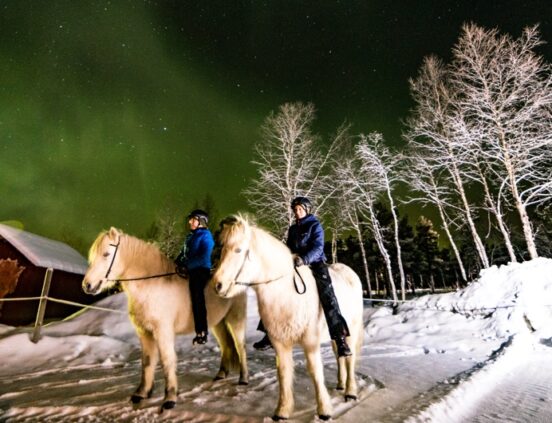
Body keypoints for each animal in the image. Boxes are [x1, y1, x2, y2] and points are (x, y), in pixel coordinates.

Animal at [81, 227, 248, 412]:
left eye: (106, 254)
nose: (87, 285)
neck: (152, 286)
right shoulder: (145, 332)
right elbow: (147, 362)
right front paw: (141, 393)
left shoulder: (163, 332)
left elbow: (167, 361)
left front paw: (170, 398)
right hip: (218, 323)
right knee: (226, 346)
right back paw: (220, 375)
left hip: (235, 319)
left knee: (241, 347)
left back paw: (243, 379)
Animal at [210, 217, 362, 422]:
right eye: (222, 248)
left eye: (238, 250)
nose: (217, 285)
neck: (287, 293)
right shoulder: (280, 343)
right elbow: (283, 372)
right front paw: (282, 411)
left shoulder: (310, 342)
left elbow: (315, 371)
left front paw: (324, 410)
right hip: (335, 336)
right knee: (339, 354)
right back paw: (340, 384)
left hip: (351, 329)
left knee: (349, 358)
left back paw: (350, 391)